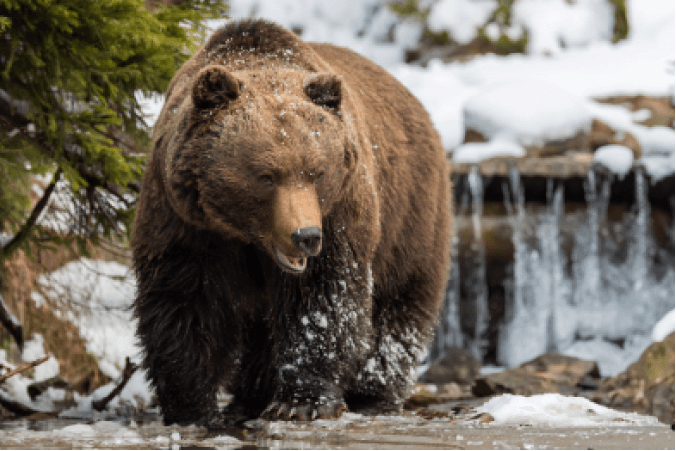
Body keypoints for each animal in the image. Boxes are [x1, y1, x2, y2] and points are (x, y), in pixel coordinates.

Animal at [131, 19, 448, 430]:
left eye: (317, 172)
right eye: (266, 176)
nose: (306, 236)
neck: (246, 235)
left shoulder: (340, 213)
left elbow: (322, 300)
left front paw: (302, 402)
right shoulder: (184, 220)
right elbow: (185, 300)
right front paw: (192, 409)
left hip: (410, 214)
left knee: (399, 303)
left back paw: (373, 394)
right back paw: (249, 398)